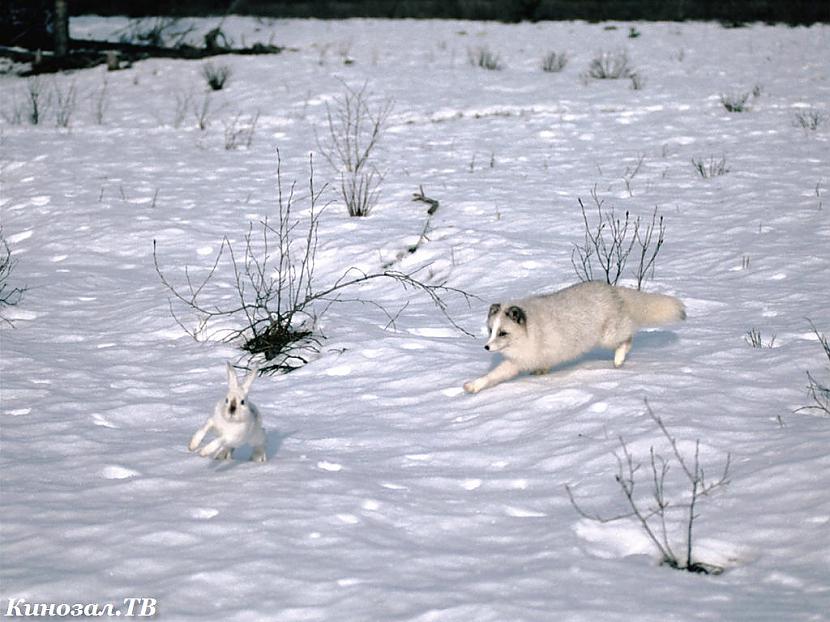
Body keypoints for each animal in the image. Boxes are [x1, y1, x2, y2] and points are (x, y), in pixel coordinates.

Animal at [462, 282, 688, 394]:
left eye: (502, 333)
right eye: (490, 330)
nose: (486, 347)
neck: (531, 329)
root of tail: (612, 289)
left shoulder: (521, 359)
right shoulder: (519, 361)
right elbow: (492, 376)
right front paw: (474, 386)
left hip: (608, 335)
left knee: (628, 336)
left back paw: (619, 359)